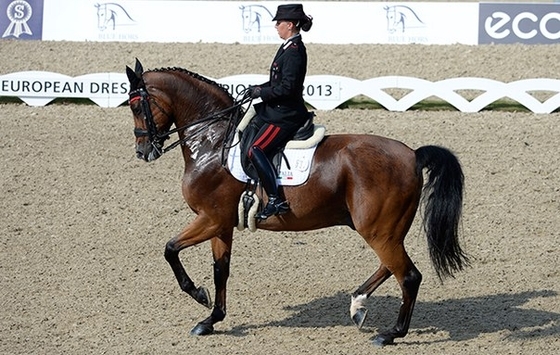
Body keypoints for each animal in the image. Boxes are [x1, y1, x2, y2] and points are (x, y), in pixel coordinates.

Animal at [127, 59, 468, 348]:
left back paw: (390, 333)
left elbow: (170, 249)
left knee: (408, 276)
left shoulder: (210, 218)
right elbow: (220, 269)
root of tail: (412, 154)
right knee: (390, 267)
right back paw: (358, 305)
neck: (213, 142)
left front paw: (199, 295)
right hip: (384, 230)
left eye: (136, 105)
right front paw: (211, 319)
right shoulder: (221, 223)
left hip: (379, 231)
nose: (143, 151)